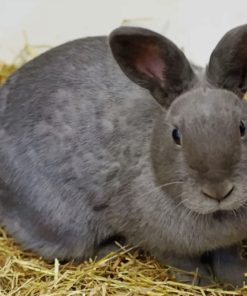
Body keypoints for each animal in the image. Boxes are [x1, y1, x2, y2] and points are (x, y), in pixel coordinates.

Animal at [0, 24, 247, 286]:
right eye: (176, 135)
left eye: (242, 126)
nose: (219, 191)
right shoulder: (161, 244)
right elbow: (186, 265)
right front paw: (202, 283)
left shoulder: (228, 244)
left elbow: (227, 259)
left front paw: (238, 280)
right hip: (65, 227)